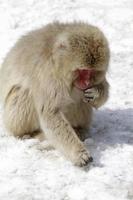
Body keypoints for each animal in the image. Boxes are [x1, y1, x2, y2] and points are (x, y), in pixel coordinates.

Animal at [0, 21, 109, 166]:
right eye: (82, 71)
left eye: (91, 72)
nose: (86, 82)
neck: (59, 64)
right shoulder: (47, 74)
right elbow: (51, 112)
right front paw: (79, 153)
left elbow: (102, 89)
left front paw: (96, 93)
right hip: (11, 120)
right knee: (24, 93)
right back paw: (29, 134)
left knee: (79, 100)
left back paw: (79, 129)